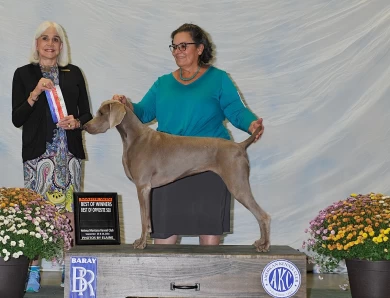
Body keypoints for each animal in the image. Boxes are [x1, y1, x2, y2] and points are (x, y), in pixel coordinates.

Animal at [83, 100, 270, 251]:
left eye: (101, 113)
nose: (84, 127)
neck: (135, 138)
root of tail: (240, 145)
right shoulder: (147, 189)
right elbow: (148, 219)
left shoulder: (142, 187)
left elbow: (143, 217)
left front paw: (141, 243)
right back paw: (261, 242)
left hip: (237, 184)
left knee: (263, 216)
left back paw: (265, 245)